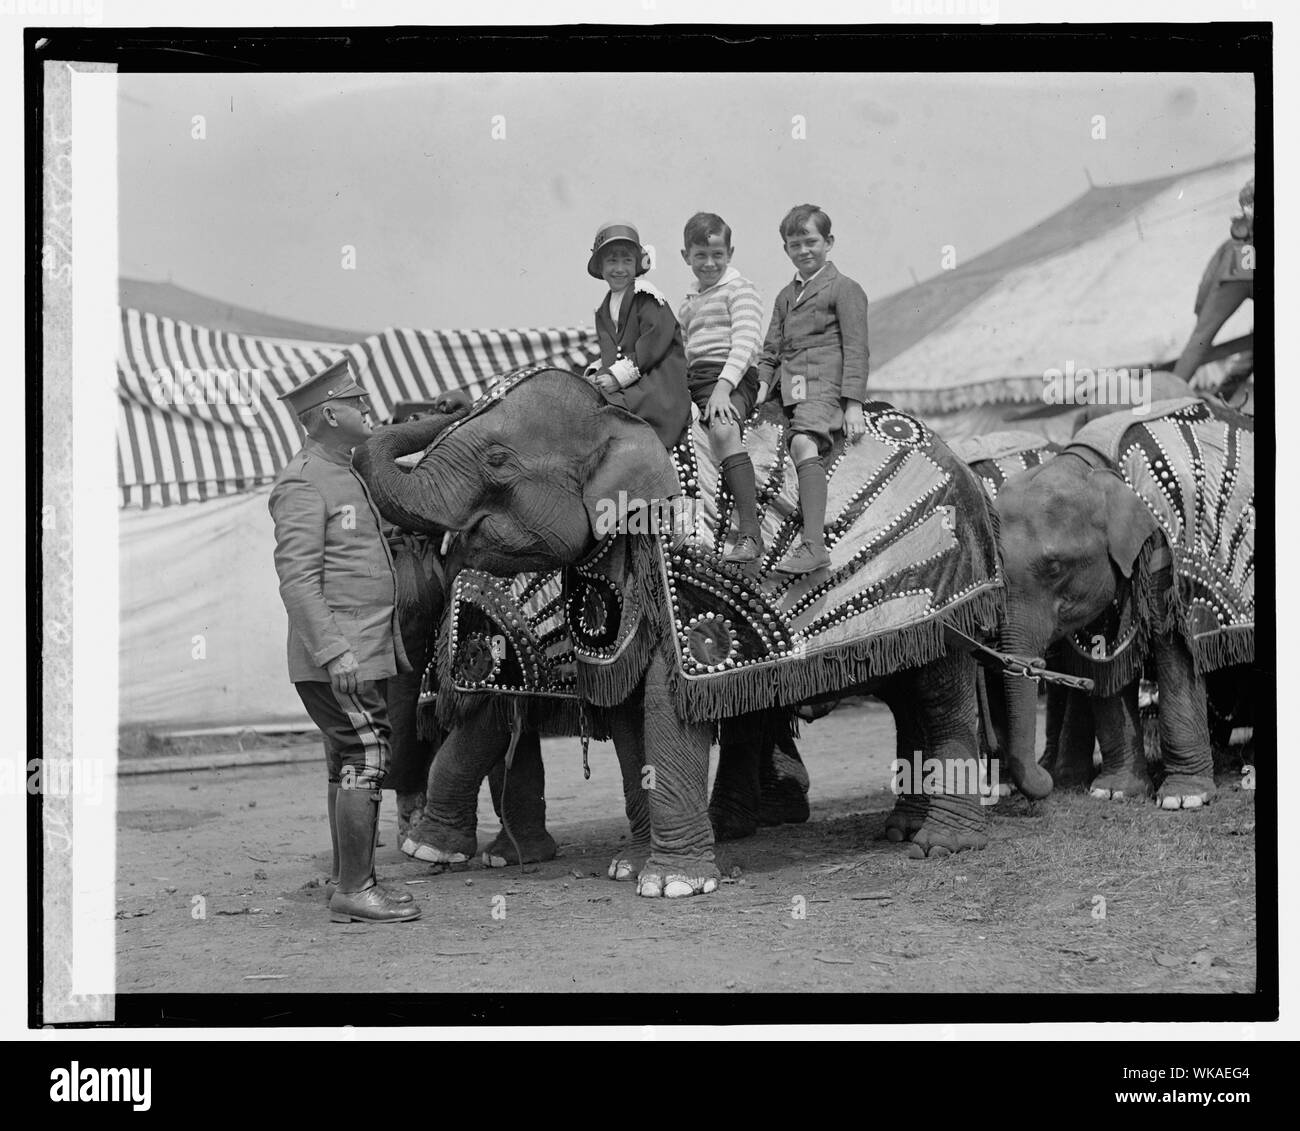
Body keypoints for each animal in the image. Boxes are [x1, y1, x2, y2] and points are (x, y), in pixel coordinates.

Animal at [356, 366, 1003, 894]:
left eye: (497, 459)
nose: (440, 403)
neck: (617, 412)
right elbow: (619, 707)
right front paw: (628, 868)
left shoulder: (680, 580)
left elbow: (665, 699)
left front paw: (672, 885)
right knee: (902, 692)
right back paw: (888, 828)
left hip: (946, 579)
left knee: (940, 693)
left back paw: (939, 843)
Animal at [987, 395, 1253, 811]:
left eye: (1054, 567)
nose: (1042, 782)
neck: (1092, 467)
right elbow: (1106, 663)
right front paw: (1112, 792)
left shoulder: (1167, 547)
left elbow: (1174, 646)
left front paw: (1183, 799)